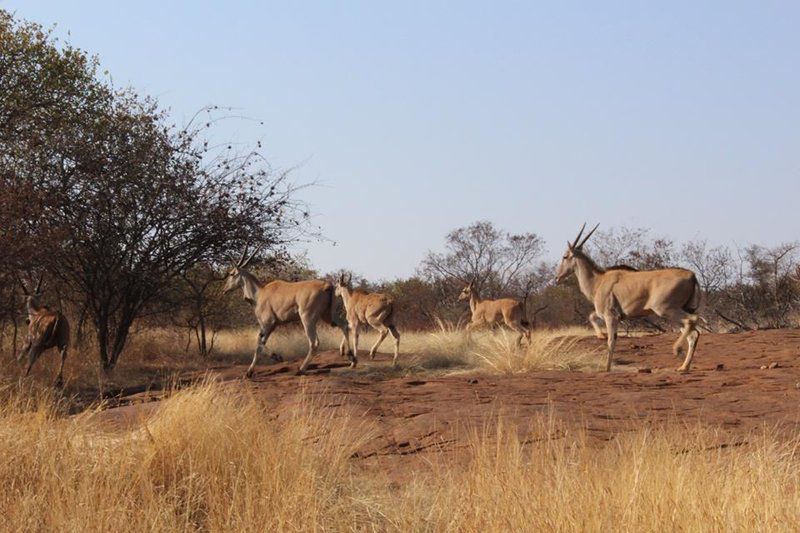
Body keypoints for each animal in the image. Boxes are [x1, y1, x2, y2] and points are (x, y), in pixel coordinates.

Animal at [223, 248, 352, 376]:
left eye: (231, 274)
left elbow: (259, 342)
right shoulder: (272, 326)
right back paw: (349, 356)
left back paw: (301, 369)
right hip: (329, 316)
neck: (259, 294)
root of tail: (327, 285)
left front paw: (275, 358)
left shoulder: (267, 323)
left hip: (307, 318)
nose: (224, 289)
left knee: (314, 342)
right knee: (344, 325)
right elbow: (261, 343)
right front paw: (251, 371)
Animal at [556, 222, 700, 372]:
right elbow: (592, 316)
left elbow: (611, 341)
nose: (557, 278)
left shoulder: (611, 316)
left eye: (565, 256)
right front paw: (601, 335)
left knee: (692, 321)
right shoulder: (610, 315)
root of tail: (691, 275)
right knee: (693, 333)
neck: (598, 281)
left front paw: (607, 367)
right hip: (678, 312)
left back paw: (677, 350)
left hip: (666, 310)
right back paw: (684, 366)